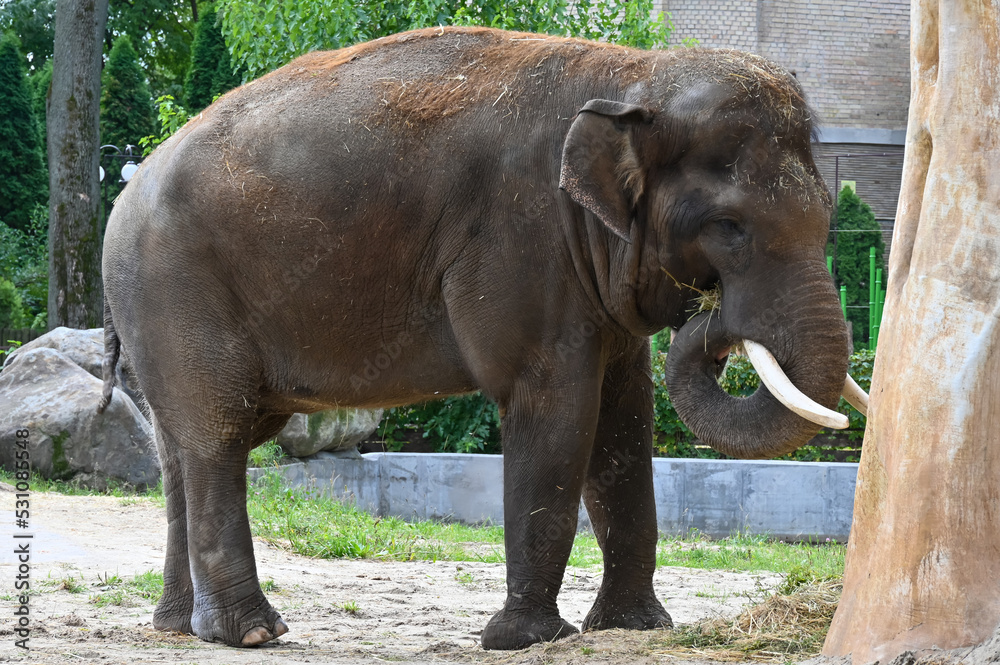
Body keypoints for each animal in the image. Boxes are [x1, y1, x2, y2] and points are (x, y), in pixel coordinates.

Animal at [99, 26, 866, 650]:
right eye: (729, 227)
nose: (712, 315)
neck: (630, 75)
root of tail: (126, 189)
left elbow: (624, 422)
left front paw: (634, 627)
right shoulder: (525, 241)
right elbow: (555, 409)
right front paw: (526, 639)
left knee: (180, 448)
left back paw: (177, 625)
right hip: (177, 291)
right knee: (218, 434)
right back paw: (252, 632)